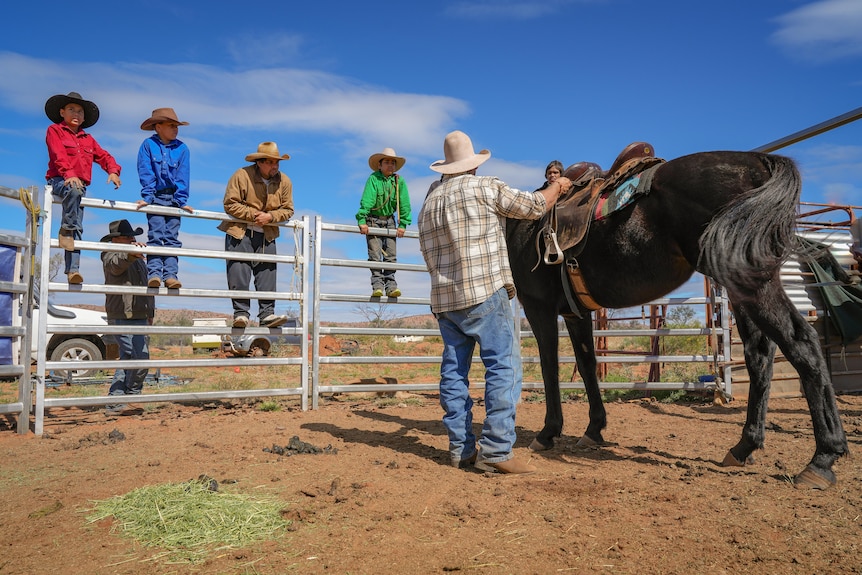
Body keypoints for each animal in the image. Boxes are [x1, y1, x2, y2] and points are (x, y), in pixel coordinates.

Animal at [506, 151, 852, 488]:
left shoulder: (539, 307)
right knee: (760, 355)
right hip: (742, 289)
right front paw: (594, 428)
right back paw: (745, 446)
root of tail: (759, 162)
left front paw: (548, 432)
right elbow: (588, 365)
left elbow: (549, 366)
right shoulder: (576, 313)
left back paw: (822, 458)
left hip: (756, 287)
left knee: (801, 343)